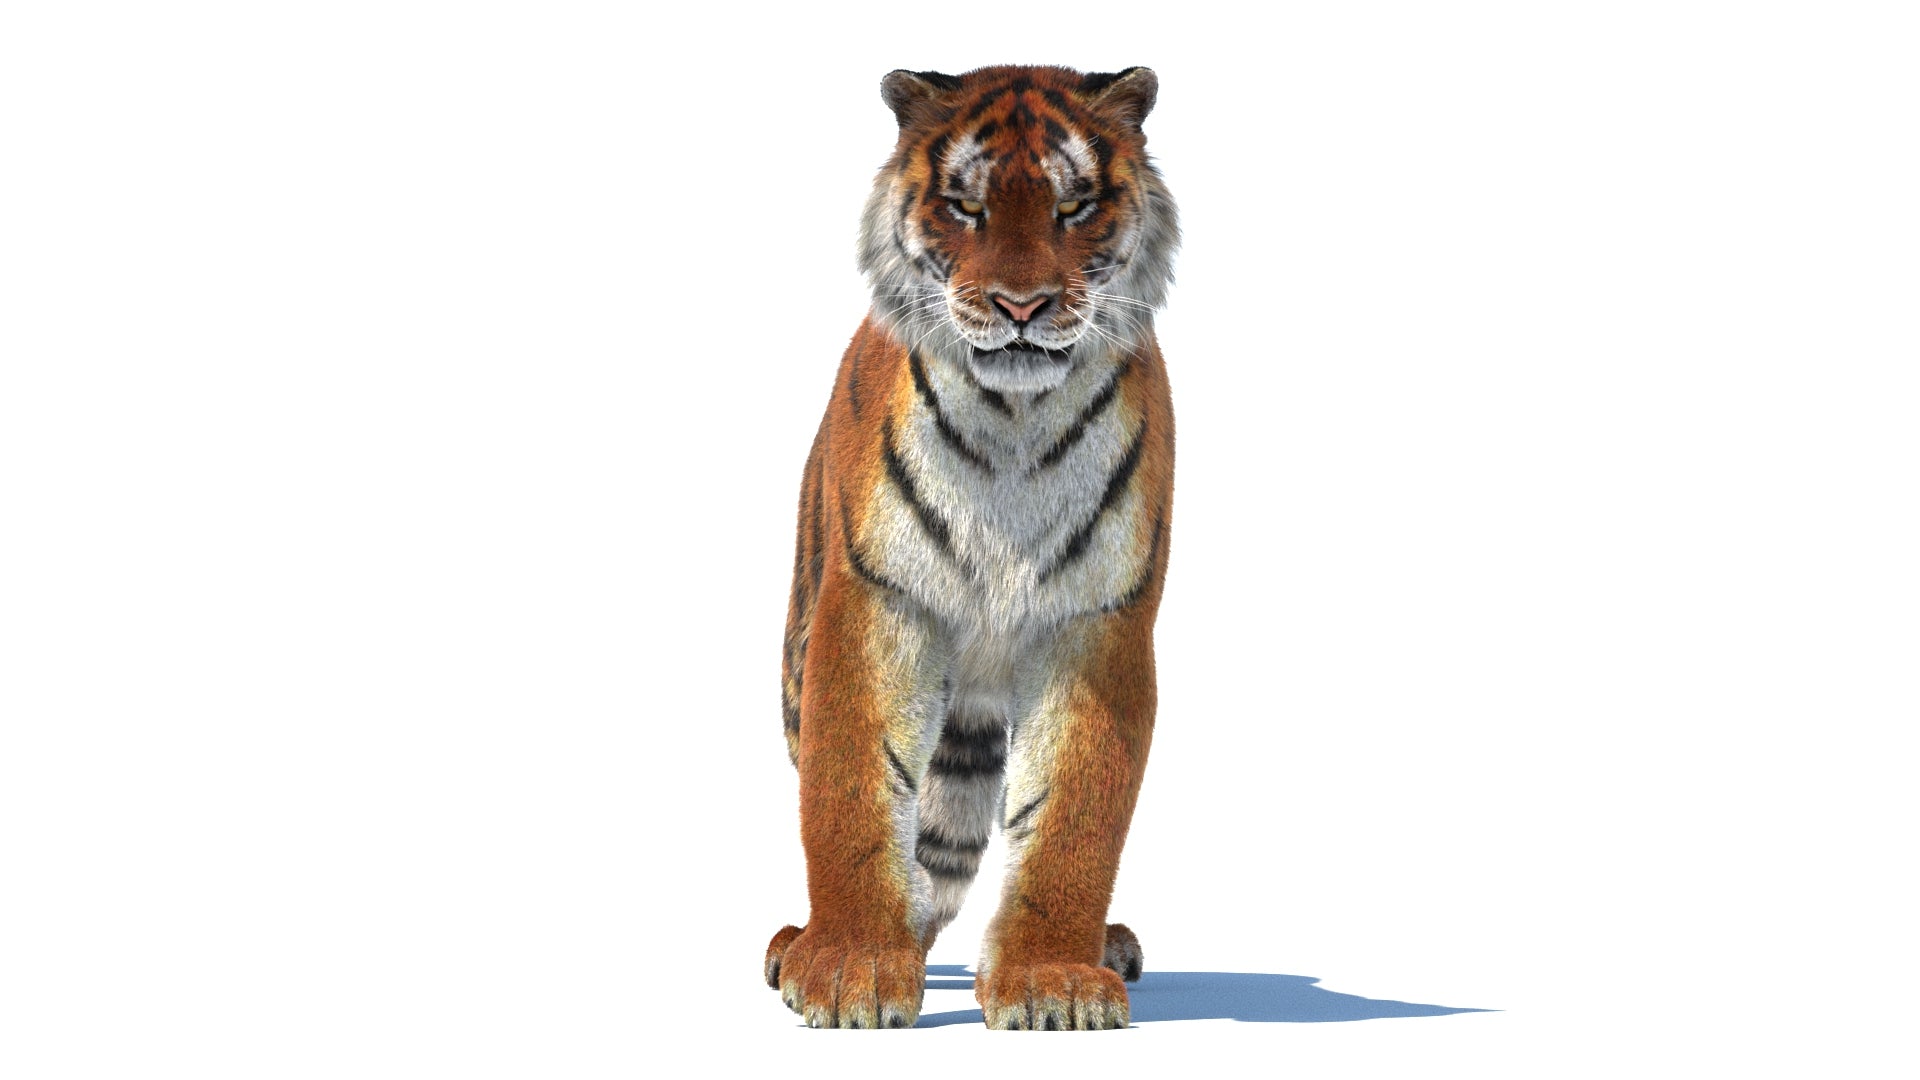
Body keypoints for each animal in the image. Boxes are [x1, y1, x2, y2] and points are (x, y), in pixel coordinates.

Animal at [764, 64, 1179, 1030]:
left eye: (1074, 206)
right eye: (965, 206)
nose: (1021, 306)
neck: (1013, 424)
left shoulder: (1097, 623)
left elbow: (1071, 815)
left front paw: (1053, 980)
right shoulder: (876, 602)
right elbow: (849, 793)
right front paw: (847, 969)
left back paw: (1106, 943)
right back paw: (799, 942)